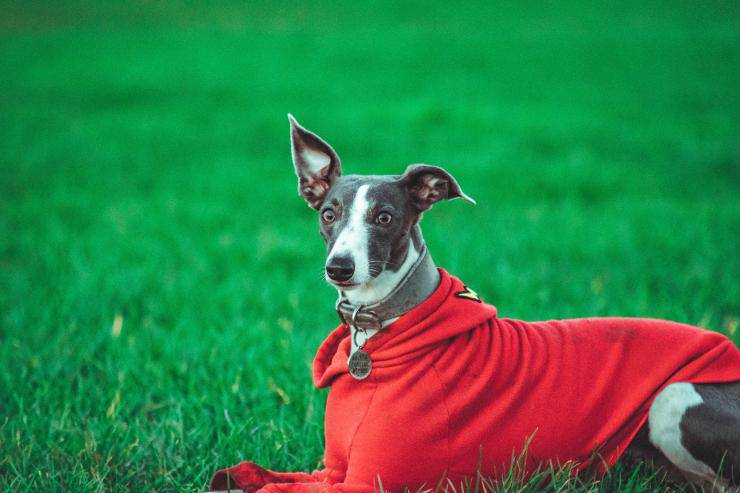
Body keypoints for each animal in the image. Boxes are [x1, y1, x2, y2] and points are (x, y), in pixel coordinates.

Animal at [207, 116, 740, 492]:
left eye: (384, 217)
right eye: (328, 214)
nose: (339, 267)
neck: (379, 327)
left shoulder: (368, 482)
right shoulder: (333, 469)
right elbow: (247, 475)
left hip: (673, 397)